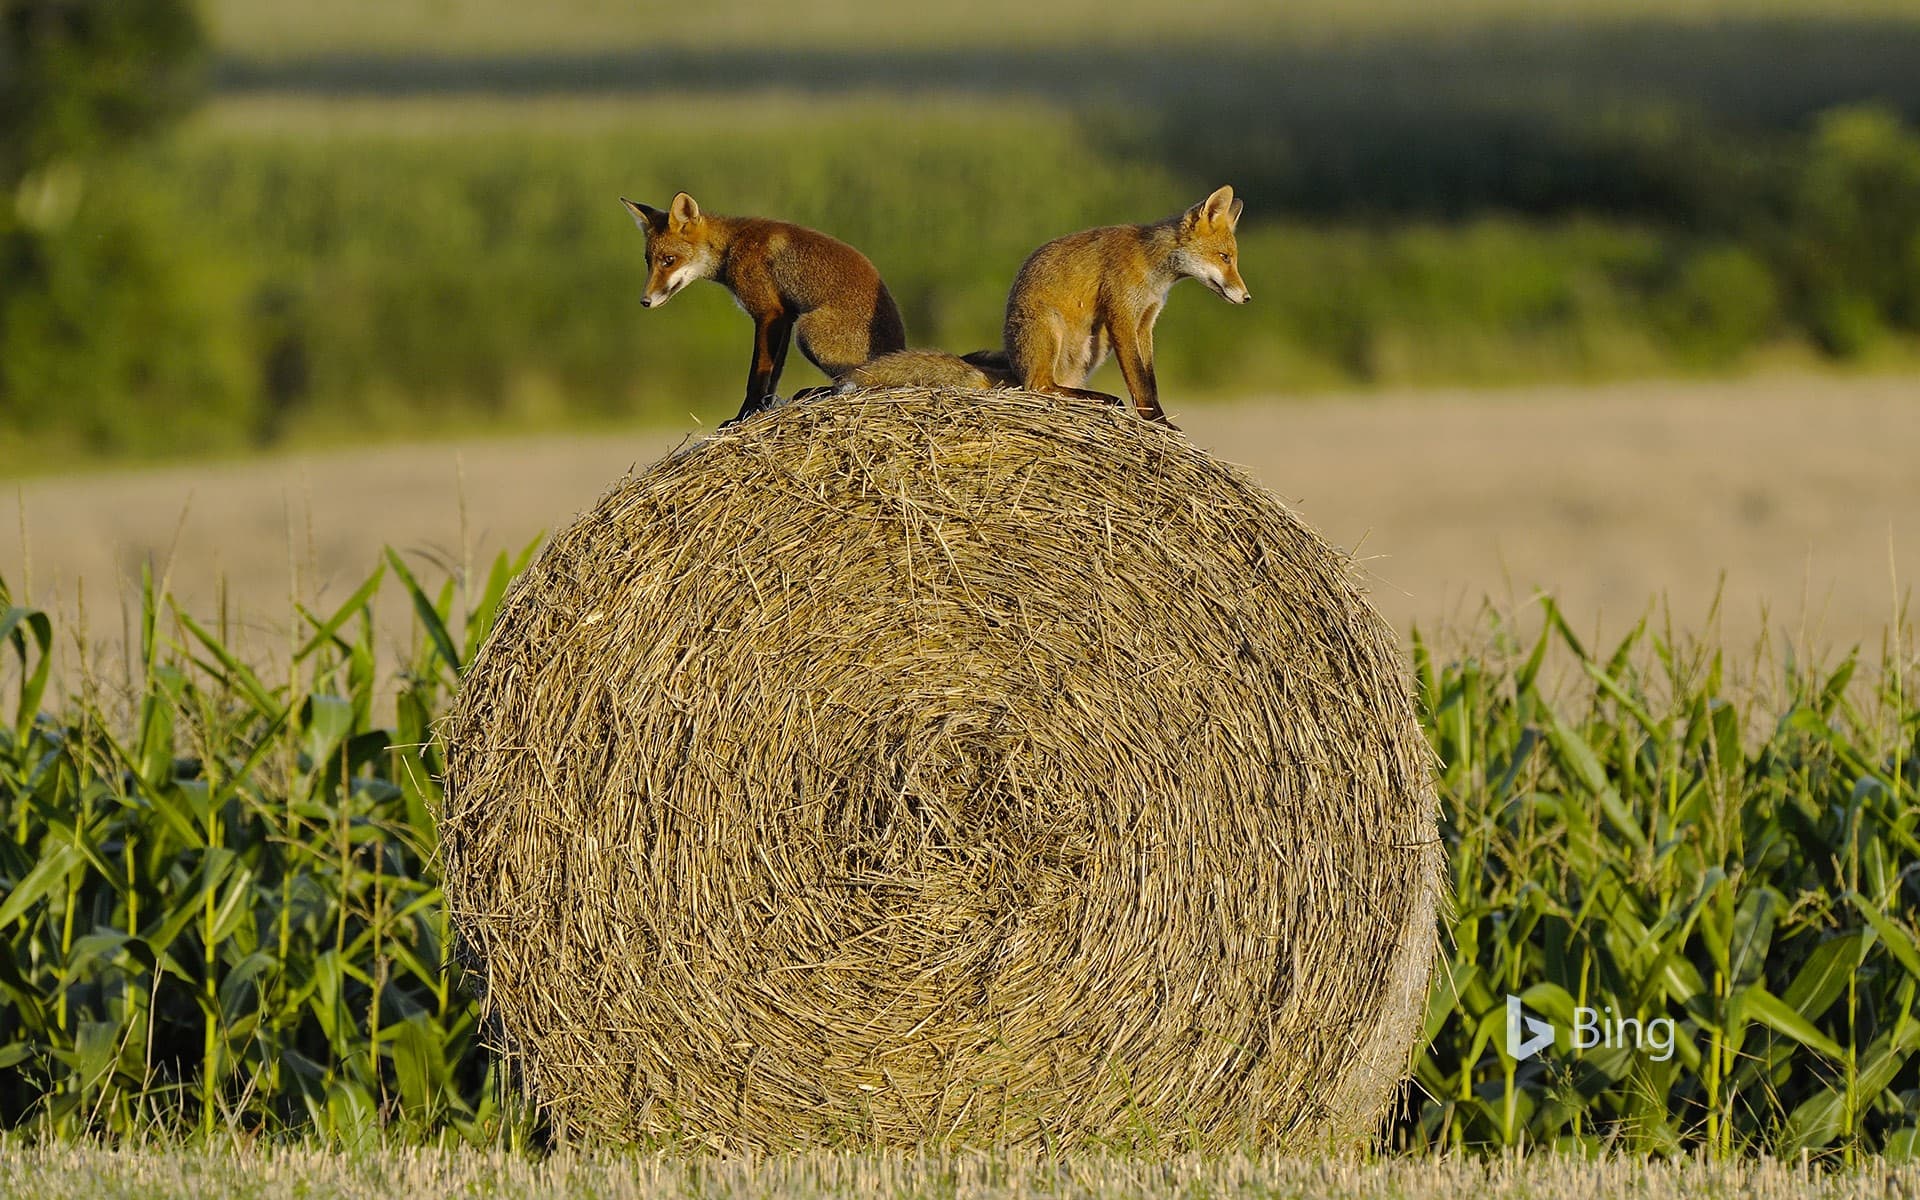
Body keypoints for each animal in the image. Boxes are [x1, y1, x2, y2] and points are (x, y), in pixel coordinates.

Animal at [620, 192, 908, 423]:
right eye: (648, 261)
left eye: (669, 260)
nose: (644, 301)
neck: (732, 246)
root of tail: (898, 347)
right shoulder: (786, 317)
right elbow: (774, 375)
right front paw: (764, 407)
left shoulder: (769, 313)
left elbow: (757, 375)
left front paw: (742, 416)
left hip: (808, 332)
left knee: (856, 379)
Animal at [1002, 184, 1250, 425]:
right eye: (1225, 257)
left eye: (1232, 259)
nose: (1247, 297)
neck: (1153, 272)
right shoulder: (1122, 316)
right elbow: (1138, 377)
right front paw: (1156, 420)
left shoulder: (1145, 321)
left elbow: (1150, 379)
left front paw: (1157, 419)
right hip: (1053, 329)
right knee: (1039, 385)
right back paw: (1104, 398)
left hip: (1095, 345)